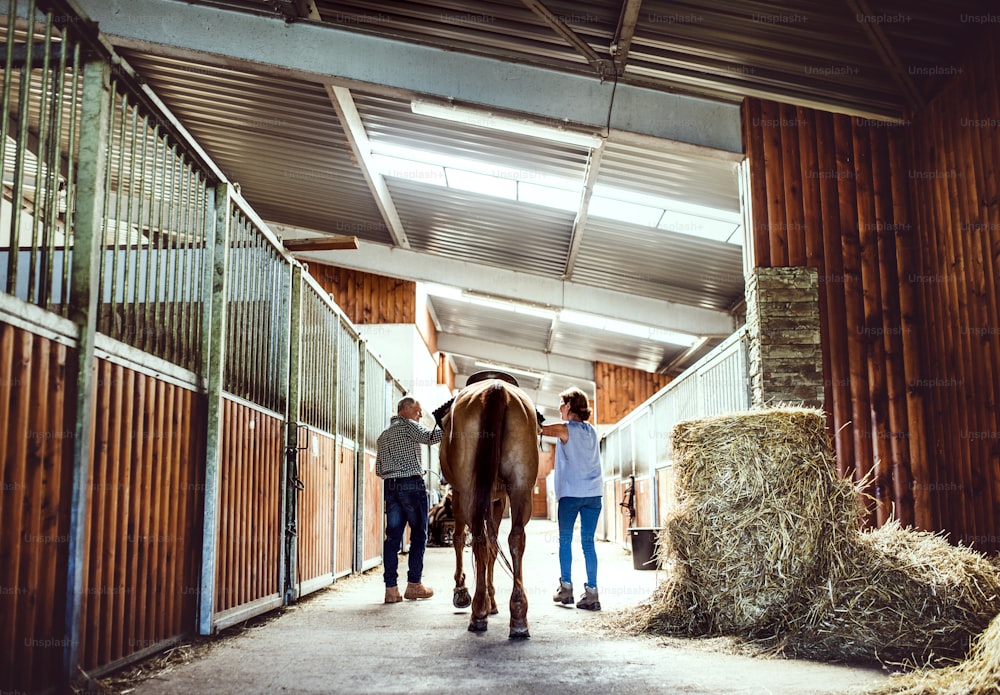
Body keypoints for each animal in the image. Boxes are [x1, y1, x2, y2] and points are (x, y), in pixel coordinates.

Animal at [436, 372, 540, 640]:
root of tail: (495, 388)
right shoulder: (498, 500)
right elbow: (494, 548)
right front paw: (493, 603)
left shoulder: (462, 496)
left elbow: (460, 539)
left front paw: (462, 591)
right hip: (521, 488)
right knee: (515, 539)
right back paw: (518, 617)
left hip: (468, 493)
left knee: (479, 540)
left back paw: (478, 612)